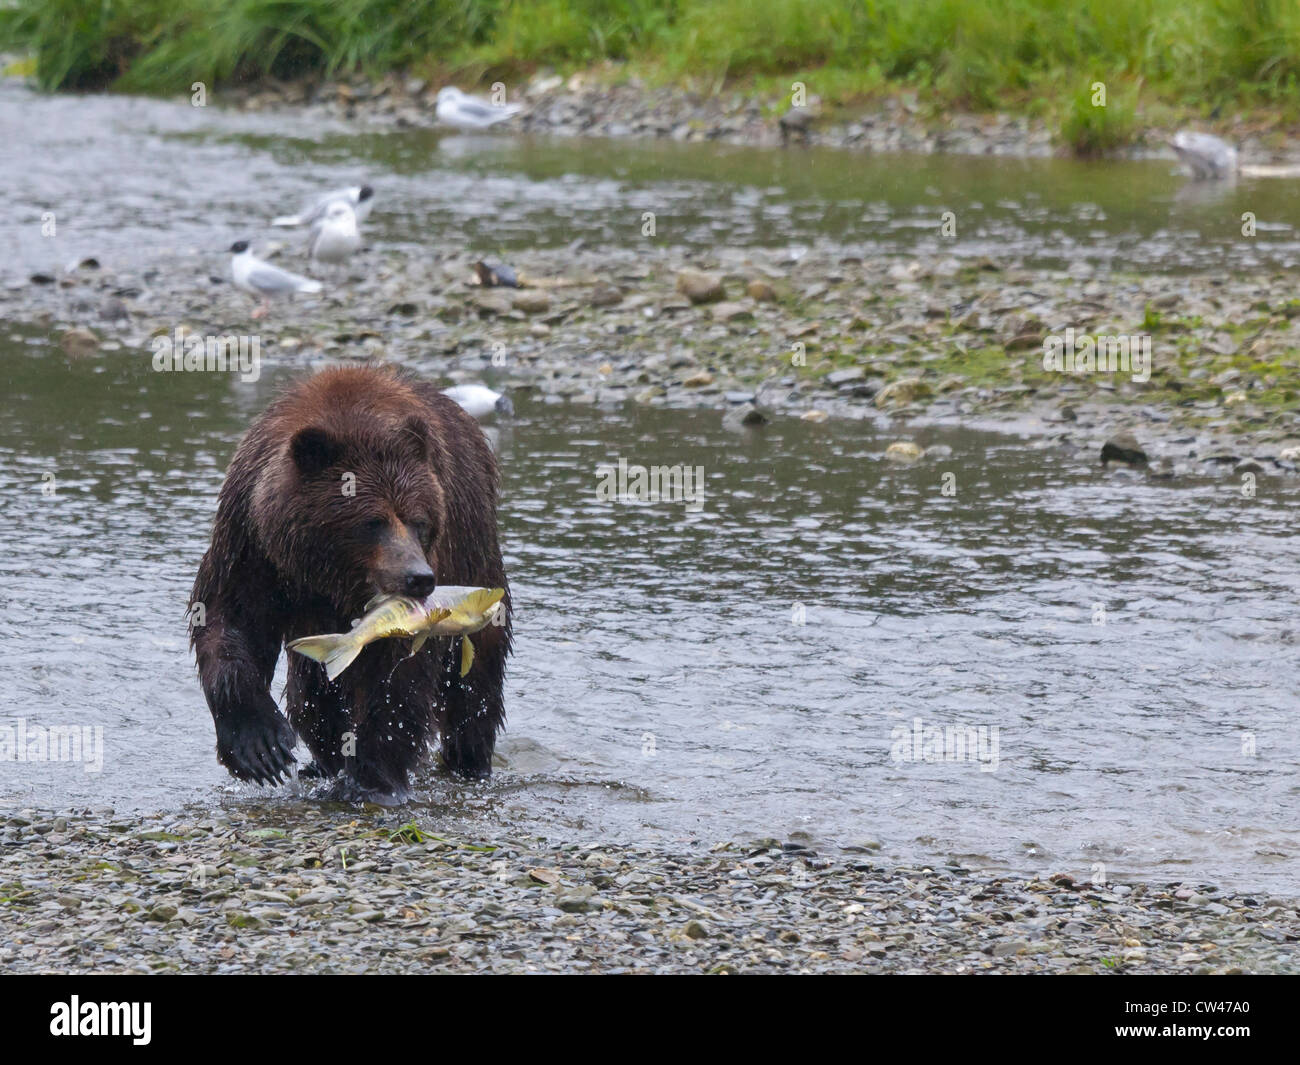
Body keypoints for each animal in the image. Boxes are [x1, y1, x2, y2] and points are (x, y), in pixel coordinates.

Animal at [189, 364, 512, 803]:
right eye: (372, 522)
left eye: (419, 520)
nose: (418, 578)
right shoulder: (252, 537)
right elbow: (230, 615)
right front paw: (261, 747)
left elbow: (396, 677)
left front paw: (372, 779)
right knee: (313, 691)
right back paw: (321, 762)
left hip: (477, 555)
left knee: (476, 683)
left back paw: (469, 760)